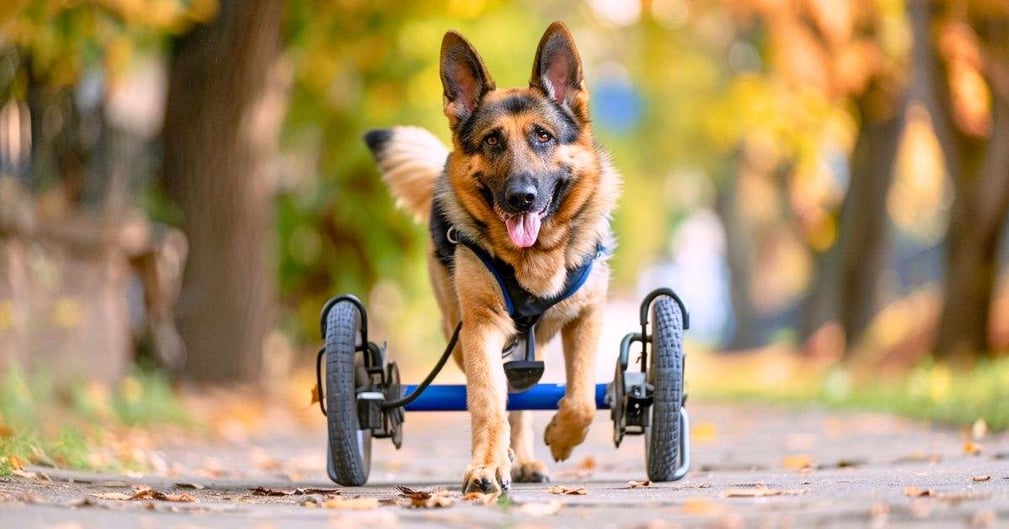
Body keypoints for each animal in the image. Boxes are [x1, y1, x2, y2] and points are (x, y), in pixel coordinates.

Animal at [363, 19, 613, 492]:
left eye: (543, 136)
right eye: (492, 141)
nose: (521, 197)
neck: (534, 260)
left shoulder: (587, 318)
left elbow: (582, 397)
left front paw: (564, 435)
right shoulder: (481, 328)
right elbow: (486, 402)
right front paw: (487, 464)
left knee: (526, 397)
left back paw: (526, 458)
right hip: (458, 331)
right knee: (505, 393)